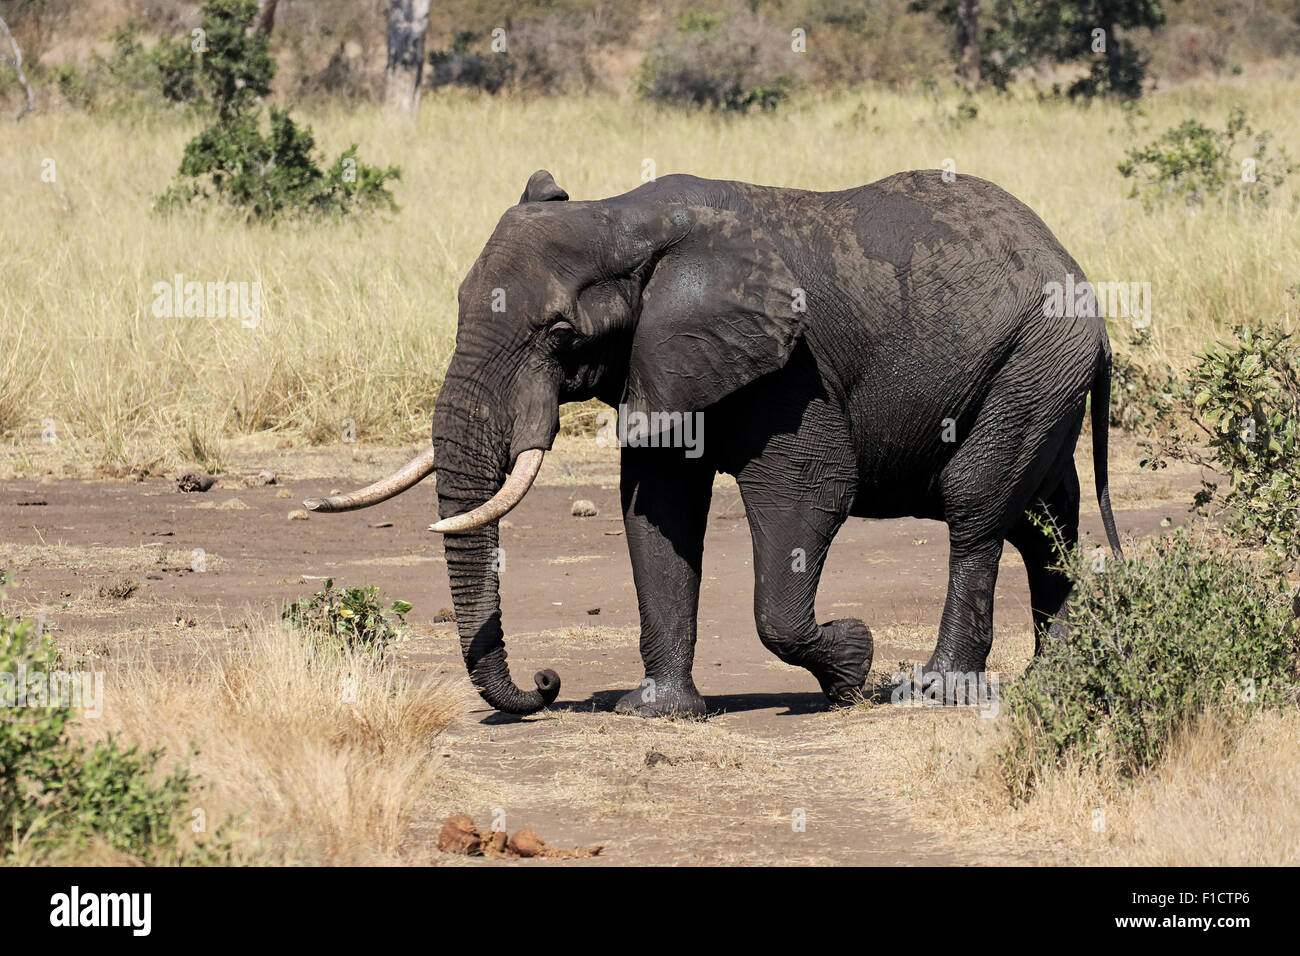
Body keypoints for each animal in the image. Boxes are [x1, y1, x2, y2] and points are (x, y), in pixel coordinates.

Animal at [304, 167, 1118, 717]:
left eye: (559, 333)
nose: (548, 682)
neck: (625, 217)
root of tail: (1071, 264)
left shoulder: (792, 370)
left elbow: (808, 494)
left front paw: (852, 665)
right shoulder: (660, 358)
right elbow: (655, 507)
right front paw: (656, 712)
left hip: (1035, 357)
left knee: (975, 501)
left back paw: (934, 691)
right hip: (1041, 371)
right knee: (1044, 520)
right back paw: (1058, 677)